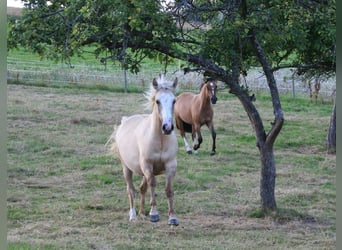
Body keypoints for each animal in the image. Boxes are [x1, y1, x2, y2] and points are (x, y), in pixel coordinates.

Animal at [109, 75, 179, 226]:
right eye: (157, 101)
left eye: (174, 100)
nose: (167, 127)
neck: (160, 140)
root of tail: (125, 121)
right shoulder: (148, 166)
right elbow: (153, 184)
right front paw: (154, 214)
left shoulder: (171, 166)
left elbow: (169, 190)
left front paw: (172, 217)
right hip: (127, 168)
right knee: (131, 190)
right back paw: (133, 215)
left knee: (142, 189)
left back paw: (142, 213)